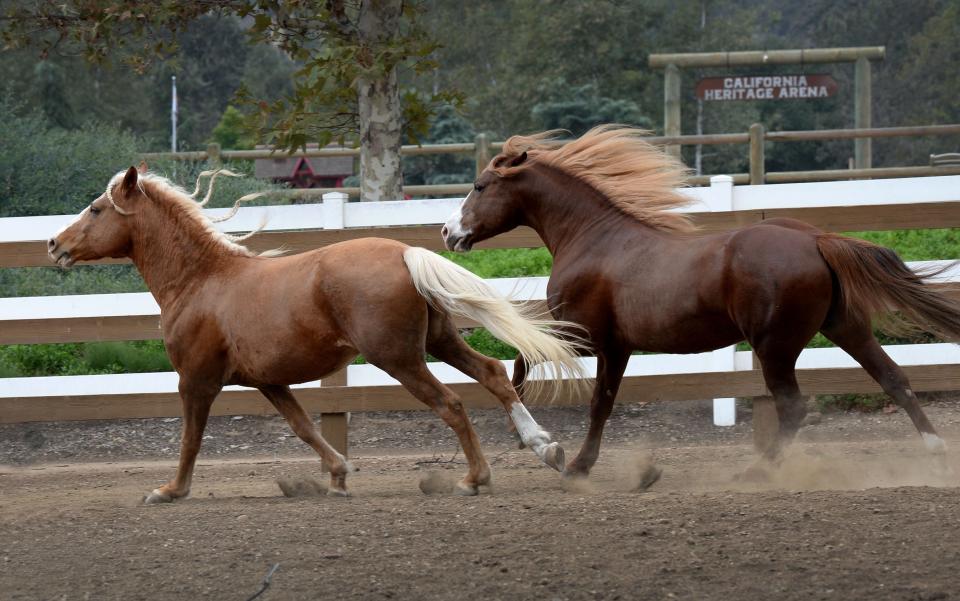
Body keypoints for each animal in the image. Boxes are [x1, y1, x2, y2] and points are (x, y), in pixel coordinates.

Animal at [50, 166, 584, 500]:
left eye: (96, 209)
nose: (55, 244)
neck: (201, 281)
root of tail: (405, 252)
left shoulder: (196, 380)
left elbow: (191, 438)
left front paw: (169, 491)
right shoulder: (269, 381)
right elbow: (304, 427)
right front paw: (338, 477)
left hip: (399, 357)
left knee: (451, 404)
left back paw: (476, 478)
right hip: (438, 341)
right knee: (493, 374)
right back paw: (545, 447)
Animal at [442, 125, 960, 478]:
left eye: (480, 186)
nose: (449, 232)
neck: (593, 239)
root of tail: (817, 239)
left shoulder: (589, 337)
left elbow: (543, 372)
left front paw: (554, 453)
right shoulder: (618, 347)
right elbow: (592, 398)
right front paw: (555, 451)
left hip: (775, 346)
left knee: (793, 408)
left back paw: (756, 471)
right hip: (843, 326)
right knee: (894, 378)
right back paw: (936, 454)